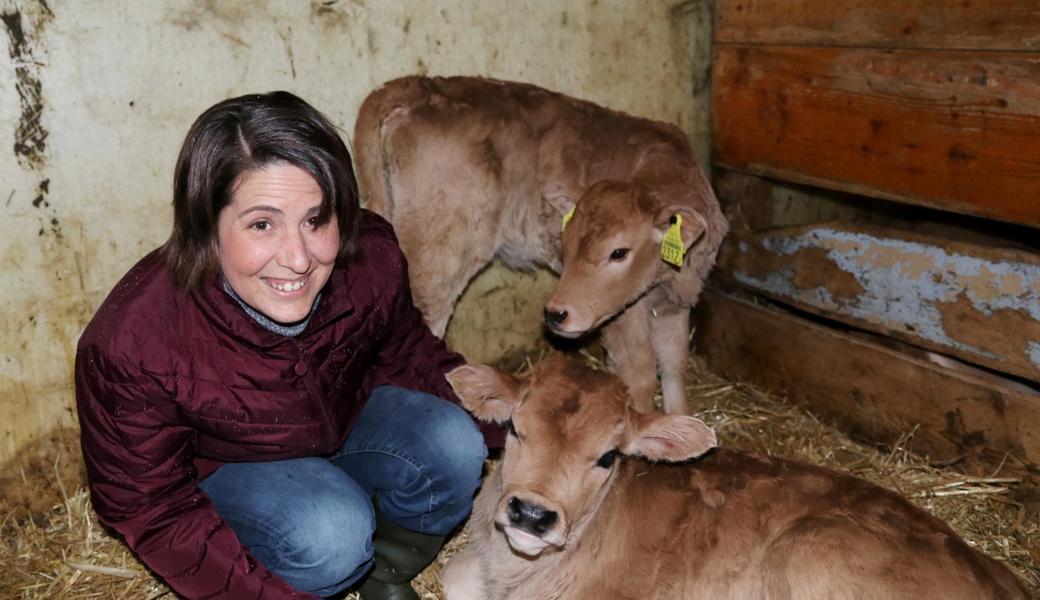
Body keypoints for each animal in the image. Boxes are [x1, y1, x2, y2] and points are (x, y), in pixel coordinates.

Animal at [353, 75, 728, 411]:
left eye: (619, 252)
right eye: (567, 244)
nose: (556, 314)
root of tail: (422, 84)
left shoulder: (676, 301)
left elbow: (674, 367)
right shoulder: (624, 313)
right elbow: (640, 374)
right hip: (438, 249)